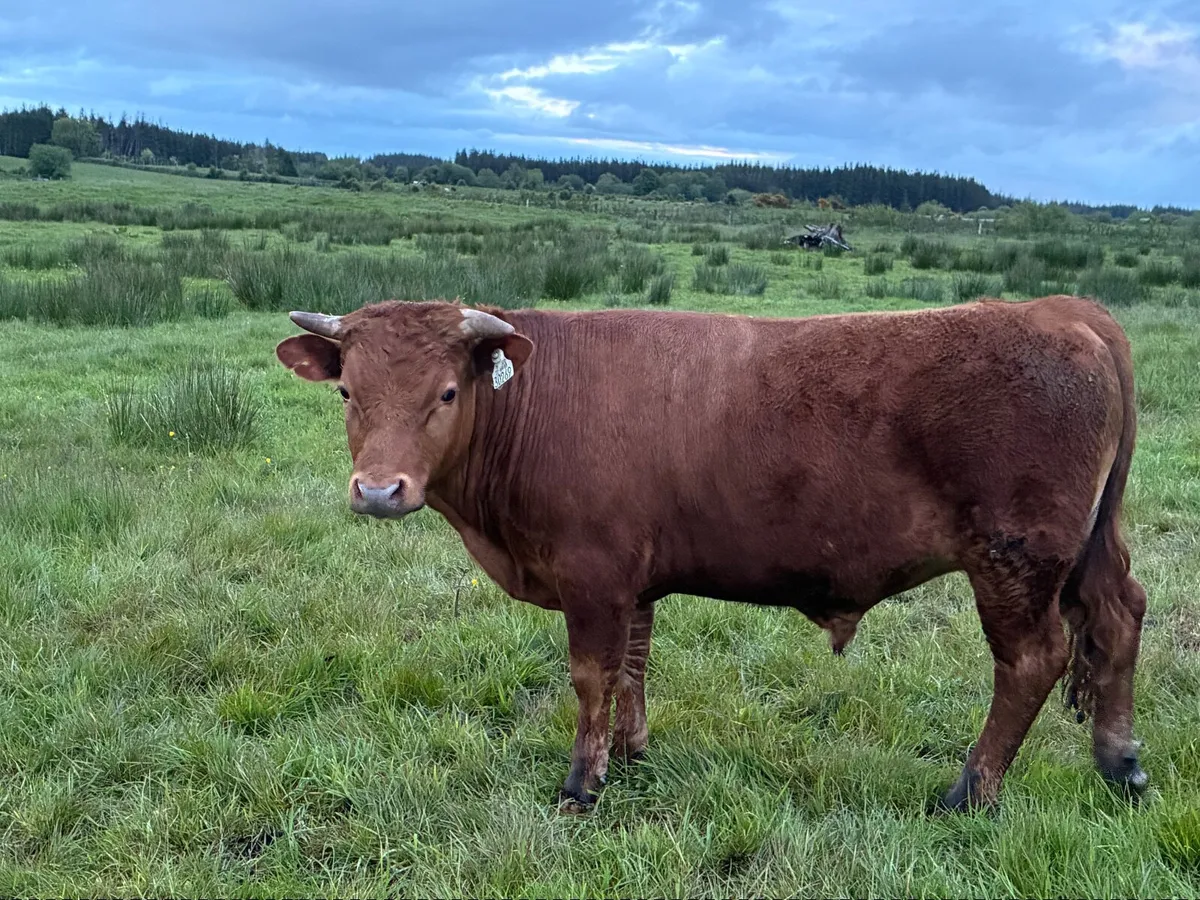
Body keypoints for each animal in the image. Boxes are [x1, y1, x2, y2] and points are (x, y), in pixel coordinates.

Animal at [275, 294, 1147, 813]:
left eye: (447, 394)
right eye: (348, 392)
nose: (379, 489)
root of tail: (1062, 310)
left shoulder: (593, 576)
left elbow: (591, 677)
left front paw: (582, 783)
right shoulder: (634, 581)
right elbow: (633, 666)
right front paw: (631, 754)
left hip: (1015, 562)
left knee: (1032, 660)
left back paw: (970, 790)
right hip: (1087, 551)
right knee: (1117, 621)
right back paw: (1120, 761)